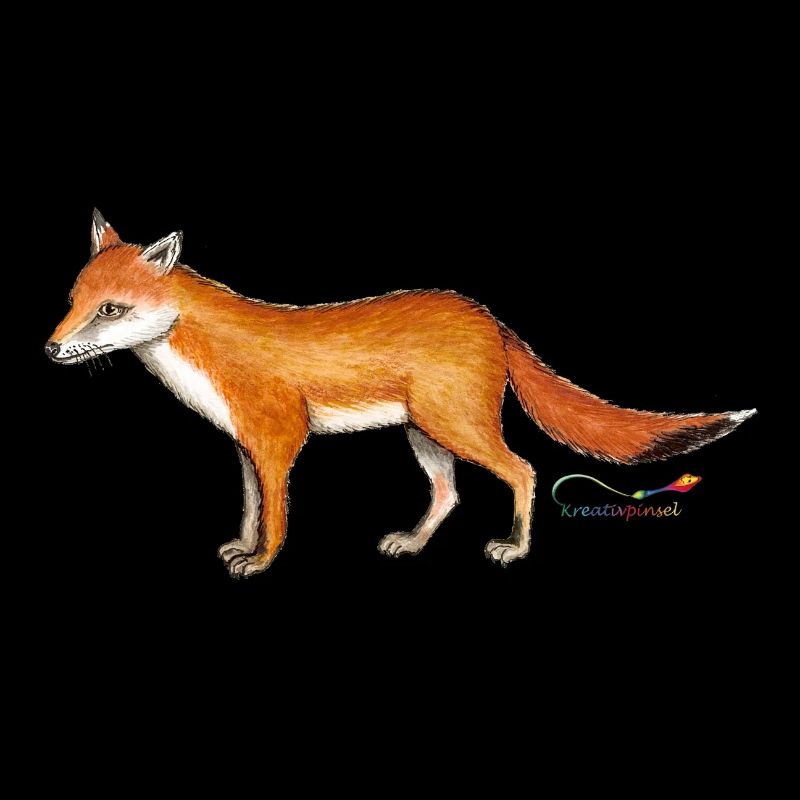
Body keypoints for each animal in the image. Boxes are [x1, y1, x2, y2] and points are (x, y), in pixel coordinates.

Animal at [46, 211, 756, 577]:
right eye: (72, 301)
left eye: (111, 310)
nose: (51, 350)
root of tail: (489, 317)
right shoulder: (244, 449)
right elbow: (250, 511)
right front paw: (242, 549)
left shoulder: (279, 443)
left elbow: (277, 518)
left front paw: (263, 561)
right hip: (425, 436)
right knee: (448, 494)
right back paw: (412, 545)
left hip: (456, 428)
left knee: (524, 470)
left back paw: (515, 548)